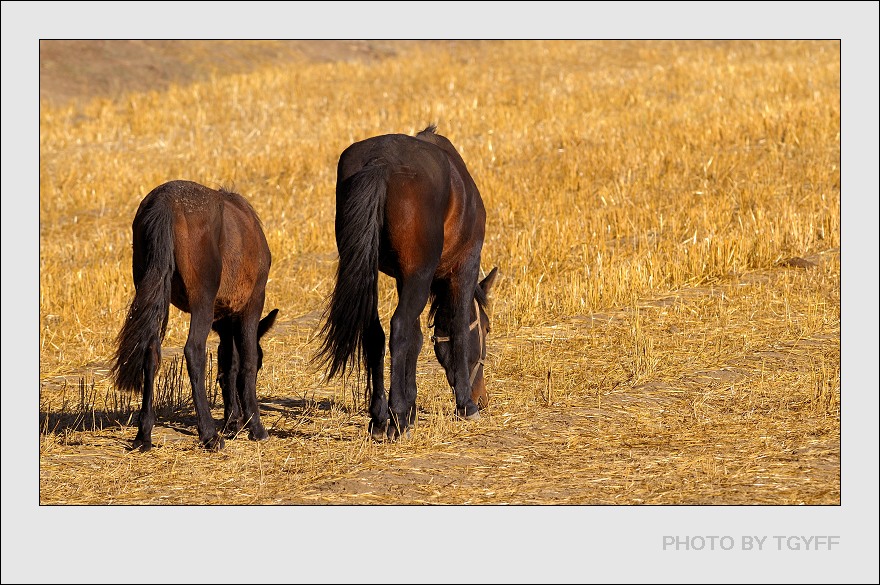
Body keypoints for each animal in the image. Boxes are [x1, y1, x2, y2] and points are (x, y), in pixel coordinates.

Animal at [111, 180, 276, 450]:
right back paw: (209, 433)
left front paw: (233, 421)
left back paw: (144, 434)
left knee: (150, 352)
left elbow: (228, 364)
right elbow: (246, 362)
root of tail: (165, 201)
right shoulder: (252, 304)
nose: (239, 421)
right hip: (203, 301)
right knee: (193, 350)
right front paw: (255, 426)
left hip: (154, 291)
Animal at [316, 126, 498, 438]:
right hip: (420, 274)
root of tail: (380, 162)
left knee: (375, 333)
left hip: (369, 271)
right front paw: (463, 406)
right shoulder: (464, 265)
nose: (481, 398)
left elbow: (417, 338)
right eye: (486, 328)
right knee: (398, 327)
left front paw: (410, 407)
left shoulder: (405, 279)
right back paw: (397, 416)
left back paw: (380, 418)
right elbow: (458, 330)